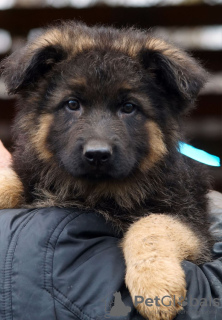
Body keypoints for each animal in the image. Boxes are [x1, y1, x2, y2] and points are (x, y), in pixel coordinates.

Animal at [0, 21, 213, 318]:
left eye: (129, 107)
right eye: (72, 104)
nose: (97, 154)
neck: (96, 194)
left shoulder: (195, 224)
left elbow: (151, 224)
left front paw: (156, 285)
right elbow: (15, 179)